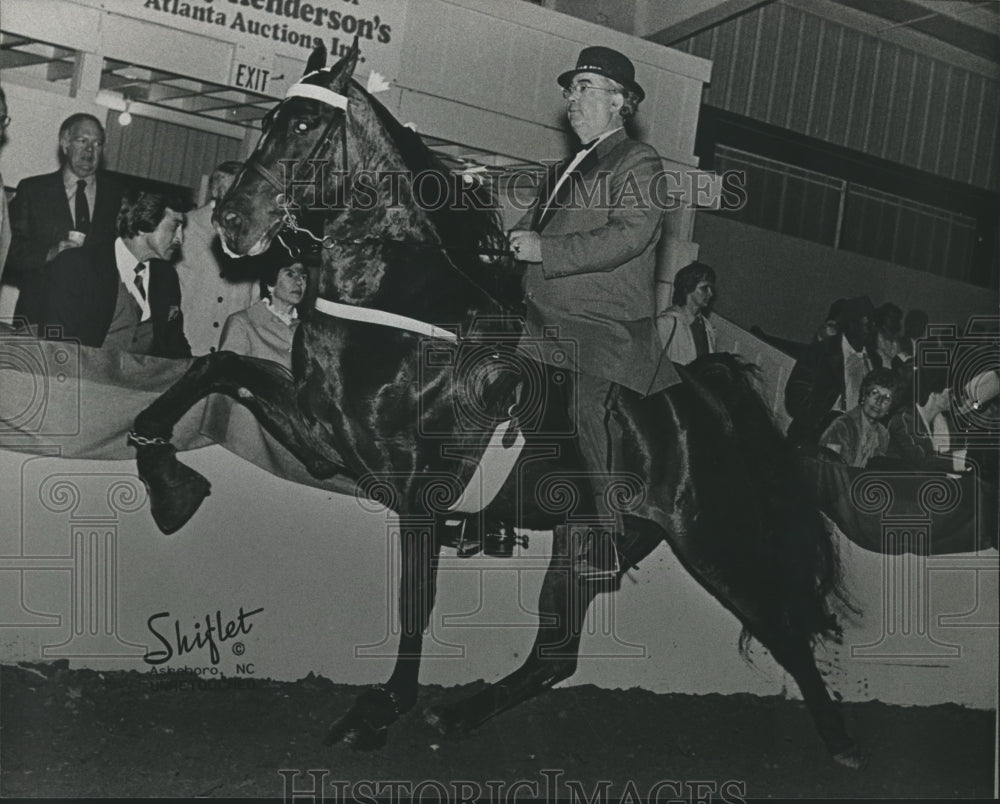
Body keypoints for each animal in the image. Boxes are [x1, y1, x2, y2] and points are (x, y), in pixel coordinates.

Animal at [131, 42, 868, 768]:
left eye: (306, 125)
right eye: (271, 118)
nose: (233, 222)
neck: (404, 306)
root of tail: (704, 396)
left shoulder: (418, 492)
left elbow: (415, 603)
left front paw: (382, 710)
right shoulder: (322, 435)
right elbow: (213, 367)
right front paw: (168, 486)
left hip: (709, 538)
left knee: (781, 627)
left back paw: (841, 743)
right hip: (587, 538)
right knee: (556, 656)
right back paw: (458, 715)